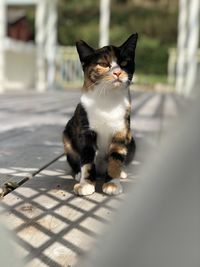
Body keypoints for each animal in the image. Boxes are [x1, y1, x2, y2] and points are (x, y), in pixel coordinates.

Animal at [63, 33, 138, 197]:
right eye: (103, 64)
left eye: (124, 62)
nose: (117, 72)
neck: (107, 101)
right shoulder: (85, 130)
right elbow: (87, 159)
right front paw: (85, 184)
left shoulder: (122, 130)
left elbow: (116, 157)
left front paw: (112, 183)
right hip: (67, 136)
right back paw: (78, 173)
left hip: (132, 141)